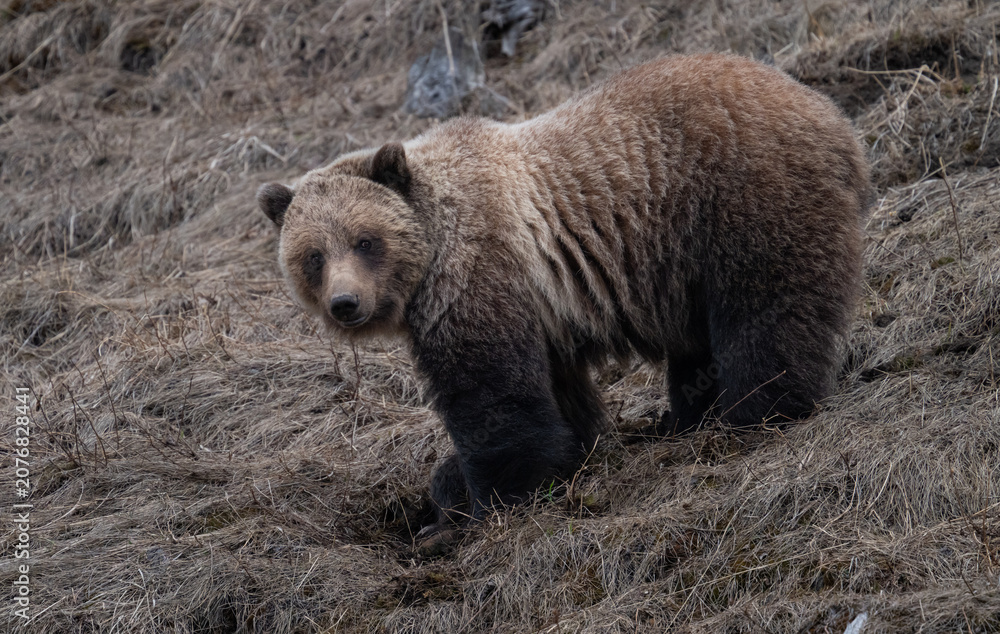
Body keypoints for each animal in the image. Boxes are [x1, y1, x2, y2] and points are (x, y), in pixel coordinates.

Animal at [257, 54, 872, 538]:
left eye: (366, 240)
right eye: (313, 255)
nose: (345, 303)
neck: (431, 253)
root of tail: (831, 115)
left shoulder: (477, 274)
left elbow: (492, 397)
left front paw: (490, 501)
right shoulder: (539, 304)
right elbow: (557, 393)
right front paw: (562, 458)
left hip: (743, 202)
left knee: (766, 314)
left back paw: (755, 412)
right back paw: (688, 417)